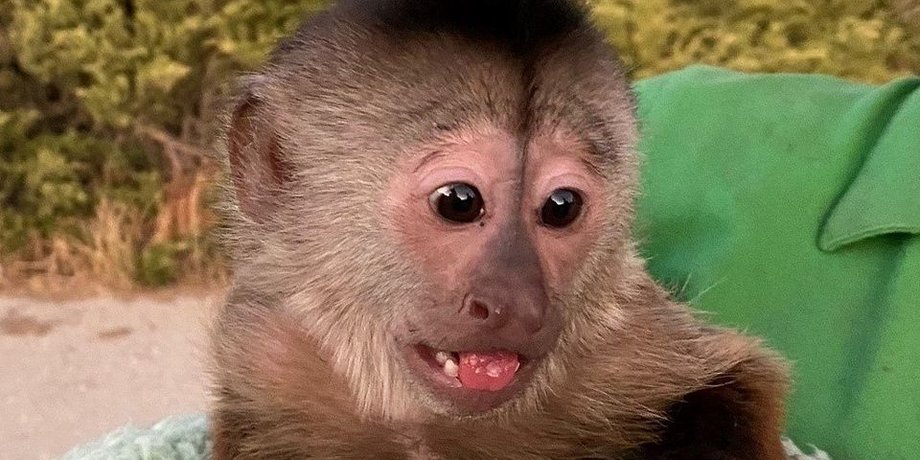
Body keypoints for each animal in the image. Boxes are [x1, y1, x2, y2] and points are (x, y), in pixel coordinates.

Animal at [210, 0, 790, 458]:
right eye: (458, 202)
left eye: (561, 207)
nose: (519, 302)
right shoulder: (267, 357)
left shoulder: (632, 341)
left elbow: (742, 376)